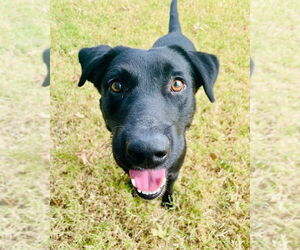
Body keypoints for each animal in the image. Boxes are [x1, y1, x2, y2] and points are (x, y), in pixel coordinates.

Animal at [77, 0, 218, 207]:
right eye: (116, 85)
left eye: (177, 84)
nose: (146, 152)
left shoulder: (174, 170)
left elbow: (170, 185)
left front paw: (168, 202)